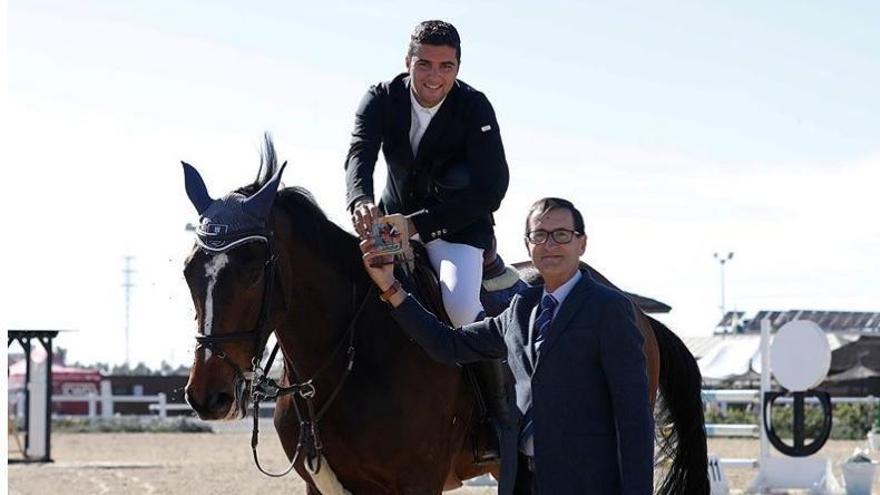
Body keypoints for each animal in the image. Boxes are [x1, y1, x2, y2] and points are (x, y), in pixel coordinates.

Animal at [180, 137, 708, 495]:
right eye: (188, 271)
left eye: (253, 268)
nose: (208, 396)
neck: (349, 358)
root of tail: (634, 308)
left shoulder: (416, 481)